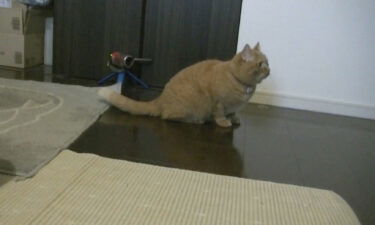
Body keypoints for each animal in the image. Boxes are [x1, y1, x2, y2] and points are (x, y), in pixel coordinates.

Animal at [98, 42, 270, 126]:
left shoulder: (233, 107)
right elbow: (220, 113)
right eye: (261, 64)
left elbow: (233, 113)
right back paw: (197, 121)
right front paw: (223, 122)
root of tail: (161, 98)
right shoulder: (218, 103)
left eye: (267, 62)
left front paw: (234, 119)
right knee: (167, 117)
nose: (269, 70)